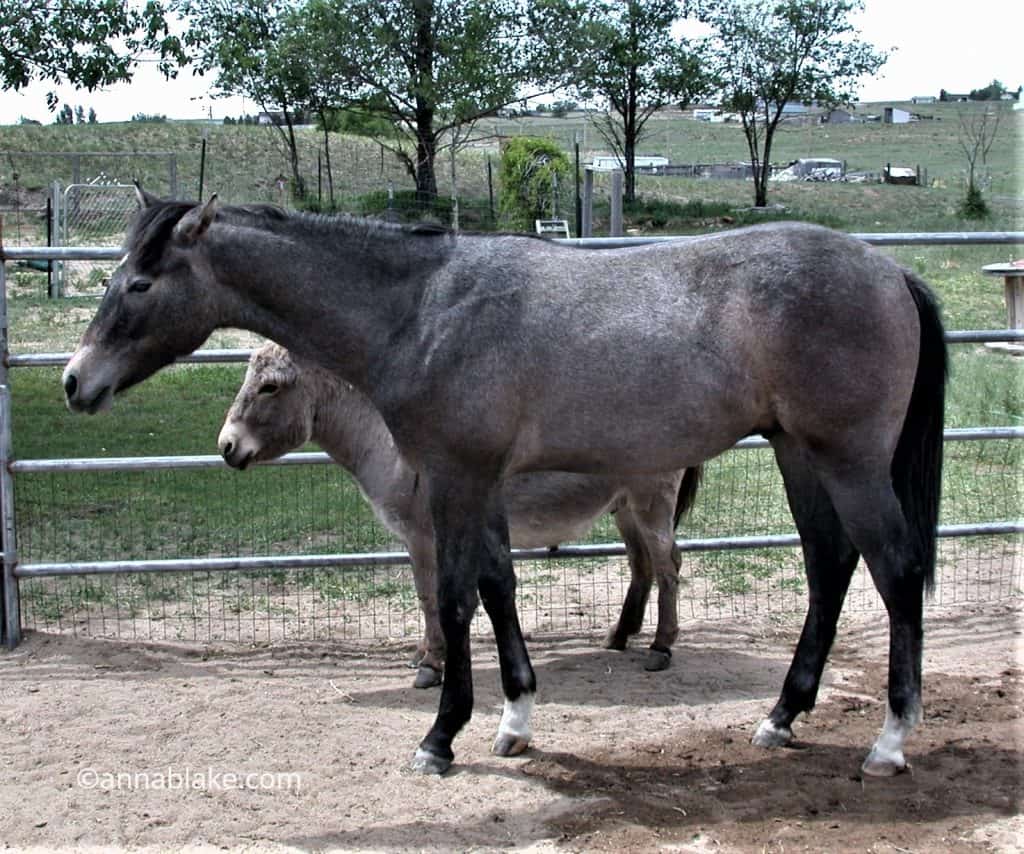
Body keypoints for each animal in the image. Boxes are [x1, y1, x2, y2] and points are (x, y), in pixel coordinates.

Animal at [214, 339, 696, 684]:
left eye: (270, 386)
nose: (225, 447)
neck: (385, 438)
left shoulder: (423, 535)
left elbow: (429, 596)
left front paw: (432, 664)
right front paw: (428, 655)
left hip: (651, 501)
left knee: (668, 565)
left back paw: (660, 648)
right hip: (625, 506)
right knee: (642, 565)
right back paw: (620, 636)